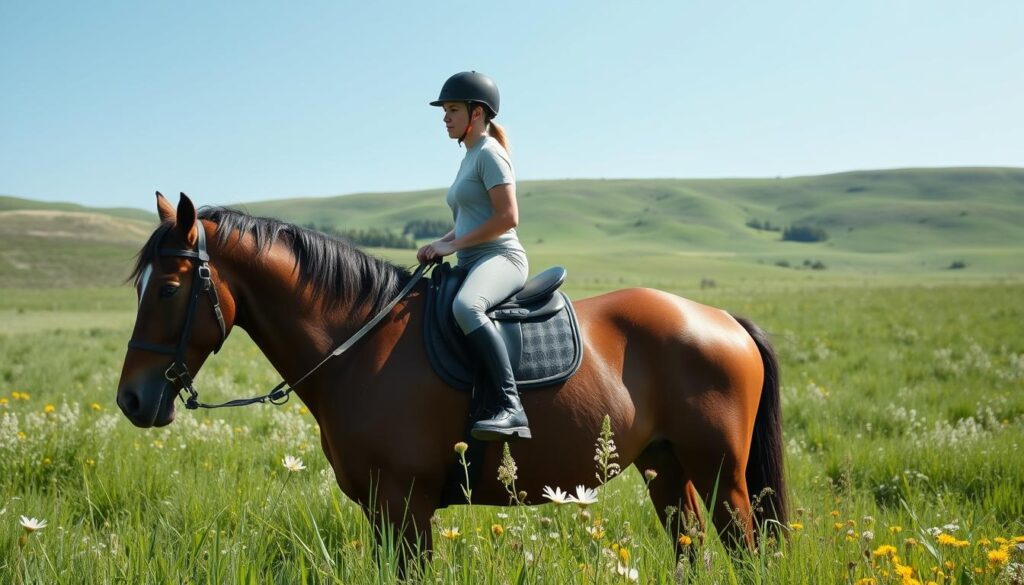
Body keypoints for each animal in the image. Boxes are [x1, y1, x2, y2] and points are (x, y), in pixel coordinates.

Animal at [114, 194, 782, 565]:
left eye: (168, 288)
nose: (132, 400)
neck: (359, 345)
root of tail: (722, 319)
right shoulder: (380, 511)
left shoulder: (405, 504)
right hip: (666, 466)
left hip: (722, 476)